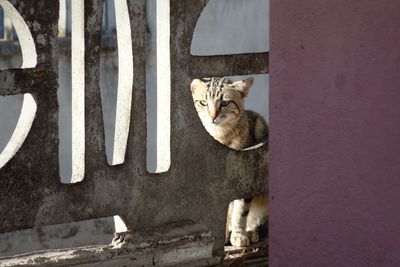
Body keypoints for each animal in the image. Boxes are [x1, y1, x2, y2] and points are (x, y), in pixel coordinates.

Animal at [191, 76, 268, 248]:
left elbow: (240, 210)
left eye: (225, 103)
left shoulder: (245, 178)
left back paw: (250, 231)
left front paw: (238, 234)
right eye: (203, 102)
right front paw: (226, 234)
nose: (212, 116)